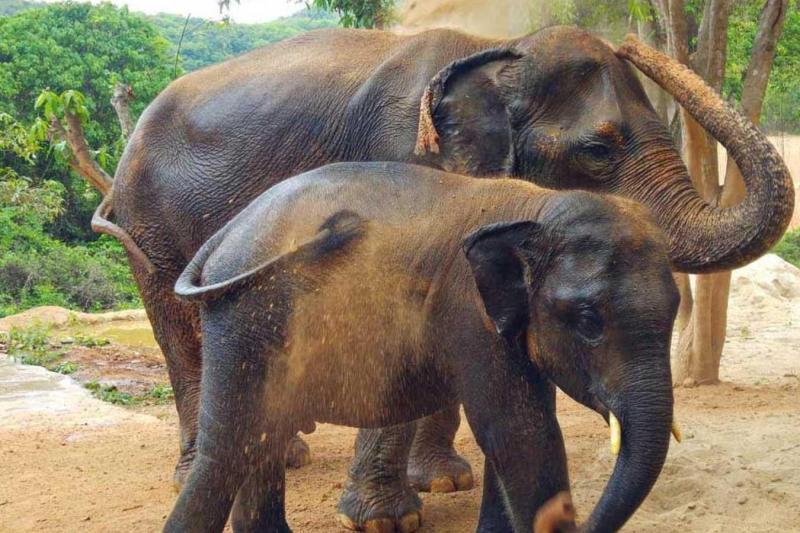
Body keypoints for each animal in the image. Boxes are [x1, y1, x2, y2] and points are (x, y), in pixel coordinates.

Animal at [168, 161, 681, 533]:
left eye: (676, 308)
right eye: (589, 321)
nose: (569, 518)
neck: (536, 205)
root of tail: (223, 235)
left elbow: (514, 435)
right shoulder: (468, 313)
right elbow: (521, 434)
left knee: (260, 442)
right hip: (244, 320)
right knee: (229, 449)